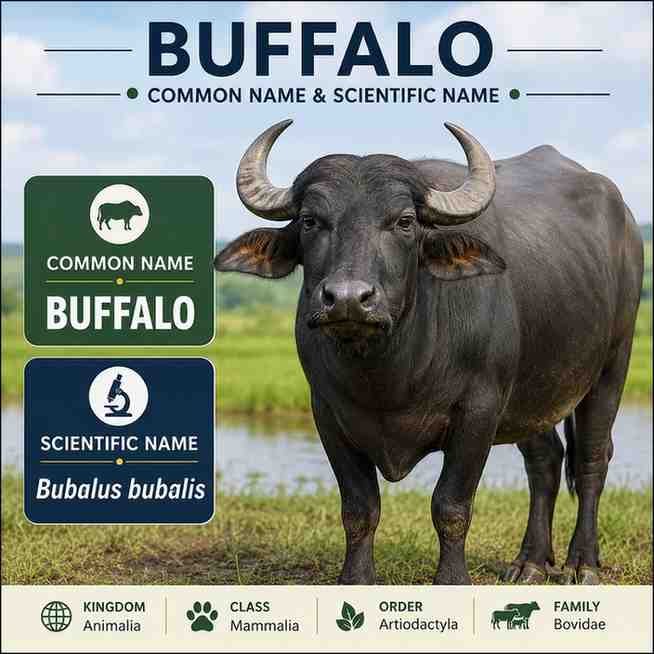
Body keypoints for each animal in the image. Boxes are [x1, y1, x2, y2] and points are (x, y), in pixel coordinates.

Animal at [215, 119, 643, 585]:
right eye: (311, 221)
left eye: (404, 222)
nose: (347, 299)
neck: (390, 374)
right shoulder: (327, 413)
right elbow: (359, 509)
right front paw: (356, 579)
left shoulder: (480, 410)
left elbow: (451, 506)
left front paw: (452, 579)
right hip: (531, 391)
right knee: (545, 460)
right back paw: (530, 561)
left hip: (612, 363)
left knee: (591, 460)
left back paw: (582, 563)